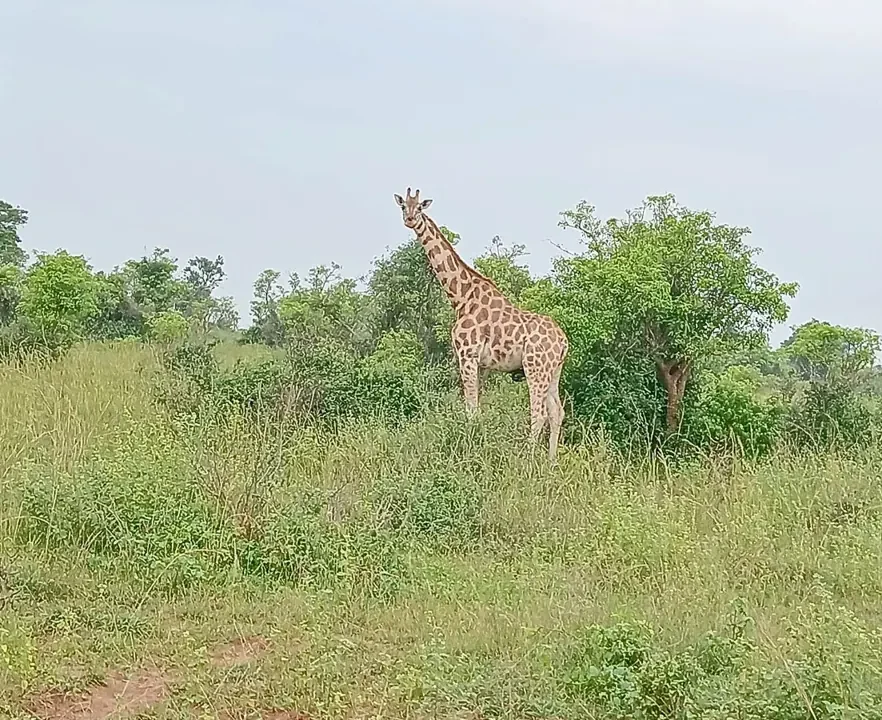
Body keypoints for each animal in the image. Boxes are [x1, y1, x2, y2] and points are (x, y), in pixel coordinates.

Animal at [394, 187, 569, 460]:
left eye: (420, 207)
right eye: (403, 206)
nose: (410, 219)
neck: (460, 297)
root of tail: (563, 342)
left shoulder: (467, 354)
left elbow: (471, 409)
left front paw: (470, 448)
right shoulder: (483, 364)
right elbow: (477, 407)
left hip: (535, 367)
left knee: (538, 413)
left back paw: (527, 460)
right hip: (554, 371)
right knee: (556, 412)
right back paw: (551, 462)